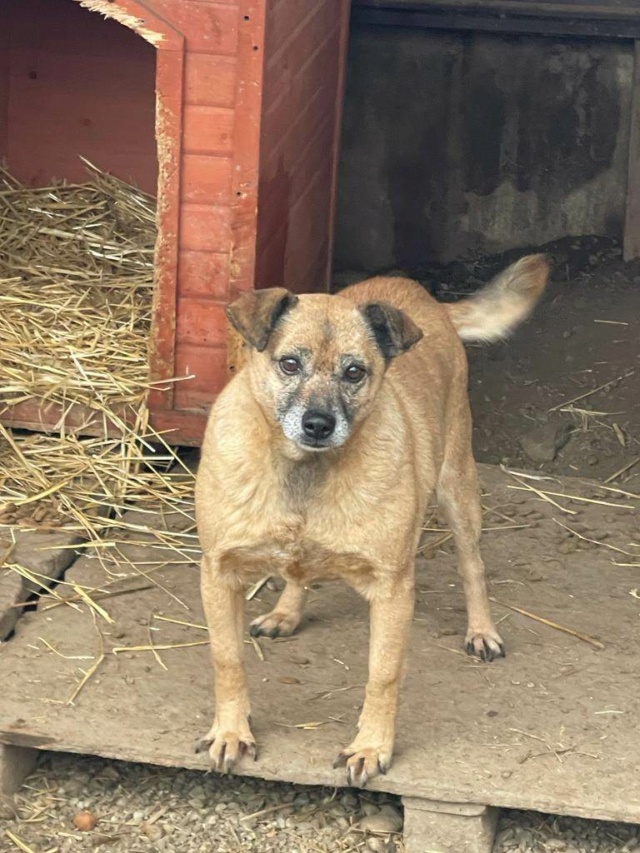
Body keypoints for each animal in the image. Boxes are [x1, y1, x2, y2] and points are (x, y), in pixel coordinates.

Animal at [195, 253, 552, 784]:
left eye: (354, 372)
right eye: (289, 363)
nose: (318, 424)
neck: (305, 472)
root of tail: (427, 300)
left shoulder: (391, 589)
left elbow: (382, 675)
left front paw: (371, 746)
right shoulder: (219, 573)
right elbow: (227, 659)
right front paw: (231, 732)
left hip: (457, 489)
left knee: (473, 565)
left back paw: (482, 630)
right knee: (299, 572)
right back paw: (286, 612)